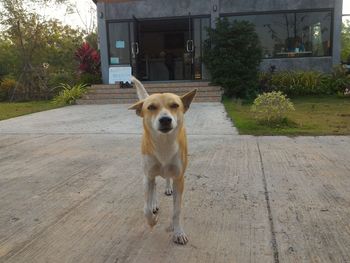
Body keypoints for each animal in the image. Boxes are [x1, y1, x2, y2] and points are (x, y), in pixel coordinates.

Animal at [128, 76, 197, 245]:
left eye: (175, 105)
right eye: (151, 107)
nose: (165, 119)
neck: (164, 144)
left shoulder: (179, 178)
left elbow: (177, 210)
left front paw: (178, 232)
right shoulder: (147, 175)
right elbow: (145, 208)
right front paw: (152, 220)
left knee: (166, 178)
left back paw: (167, 187)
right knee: (153, 187)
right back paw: (154, 203)